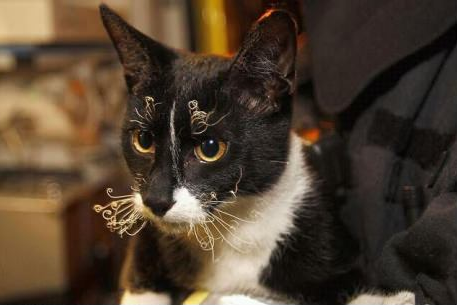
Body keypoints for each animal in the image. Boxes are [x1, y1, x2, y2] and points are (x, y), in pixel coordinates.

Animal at [98, 4, 416, 304]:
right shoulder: (147, 244)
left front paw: (398, 297)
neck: (230, 228)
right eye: (143, 140)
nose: (156, 200)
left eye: (210, 148)